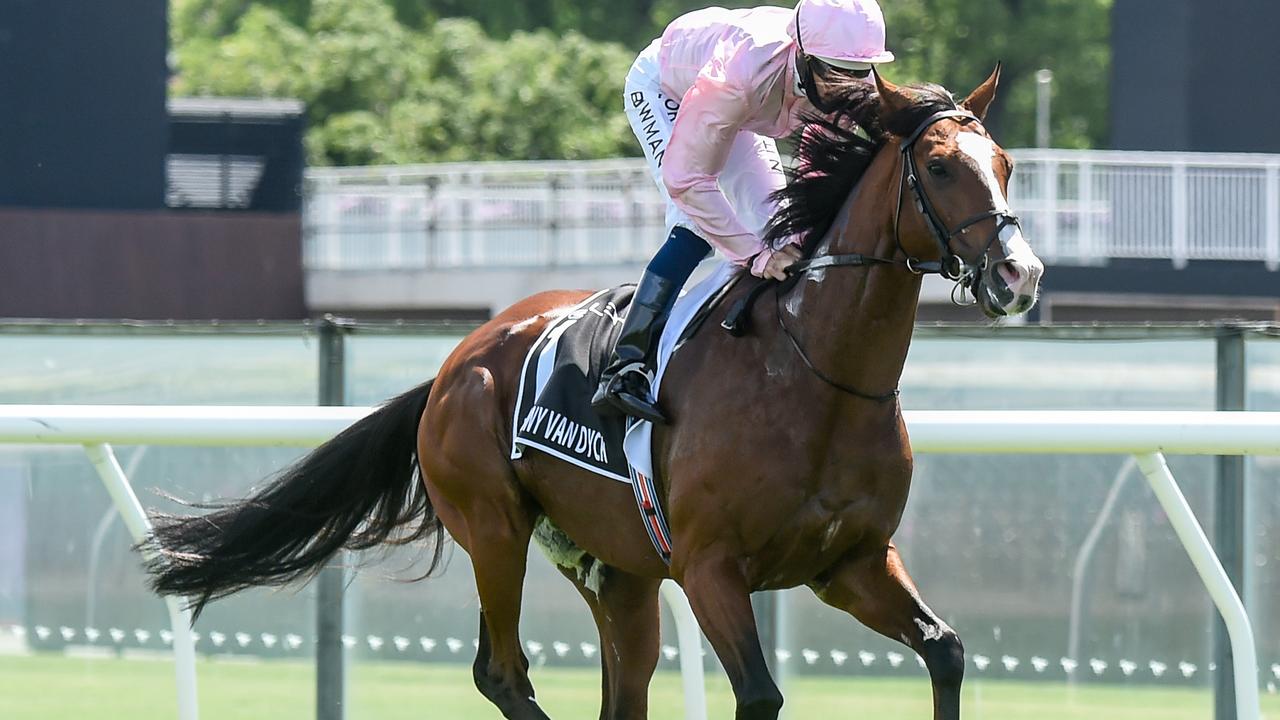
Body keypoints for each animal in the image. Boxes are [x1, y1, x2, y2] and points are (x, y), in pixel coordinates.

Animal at [145, 68, 1039, 717]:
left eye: (1005, 165)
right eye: (938, 167)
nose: (1020, 275)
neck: (817, 376)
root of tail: (457, 361)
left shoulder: (851, 560)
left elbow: (946, 650)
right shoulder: (711, 568)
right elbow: (759, 695)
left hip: (614, 571)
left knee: (619, 687)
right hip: (496, 528)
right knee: (502, 673)